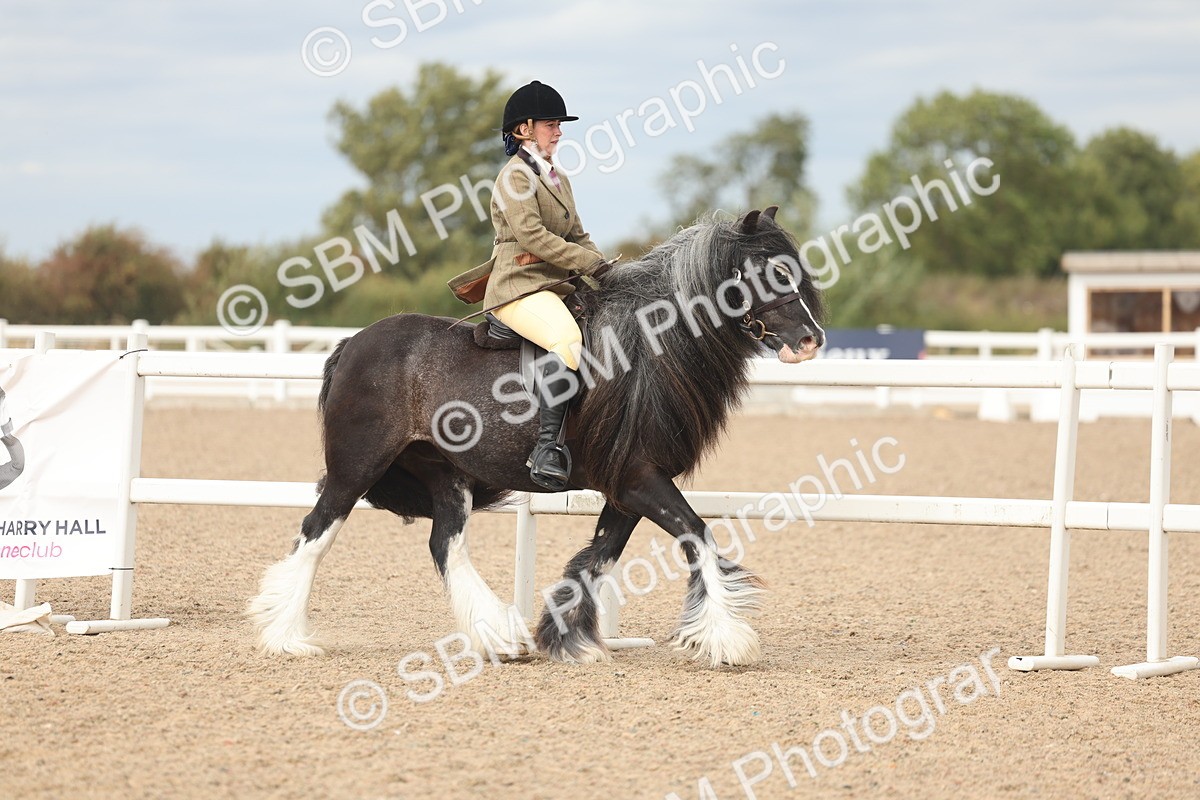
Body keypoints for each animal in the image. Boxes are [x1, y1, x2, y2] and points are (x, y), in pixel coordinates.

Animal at [248, 206, 825, 667]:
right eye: (771, 272)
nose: (810, 340)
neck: (645, 346)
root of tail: (352, 343)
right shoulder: (639, 478)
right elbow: (698, 535)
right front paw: (727, 639)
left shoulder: (627, 486)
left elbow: (598, 557)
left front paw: (568, 638)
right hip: (355, 469)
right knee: (315, 534)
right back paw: (287, 636)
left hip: (447, 475)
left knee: (445, 545)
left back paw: (500, 637)